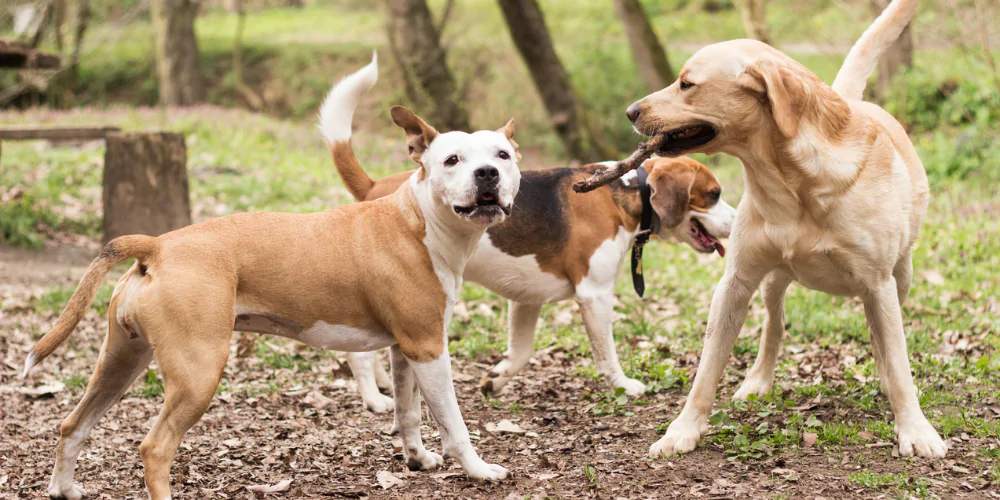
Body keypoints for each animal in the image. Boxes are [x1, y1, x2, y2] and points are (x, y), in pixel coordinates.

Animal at [24, 52, 524, 498]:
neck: (420, 220)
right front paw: (479, 469)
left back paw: (64, 489)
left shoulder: (408, 350)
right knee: (155, 447)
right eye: (452, 160)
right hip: (197, 373)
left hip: (120, 361)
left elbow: (409, 412)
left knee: (72, 424)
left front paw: (417, 459)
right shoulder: (429, 349)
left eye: (503, 155)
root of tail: (158, 245)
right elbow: (453, 421)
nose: (488, 174)